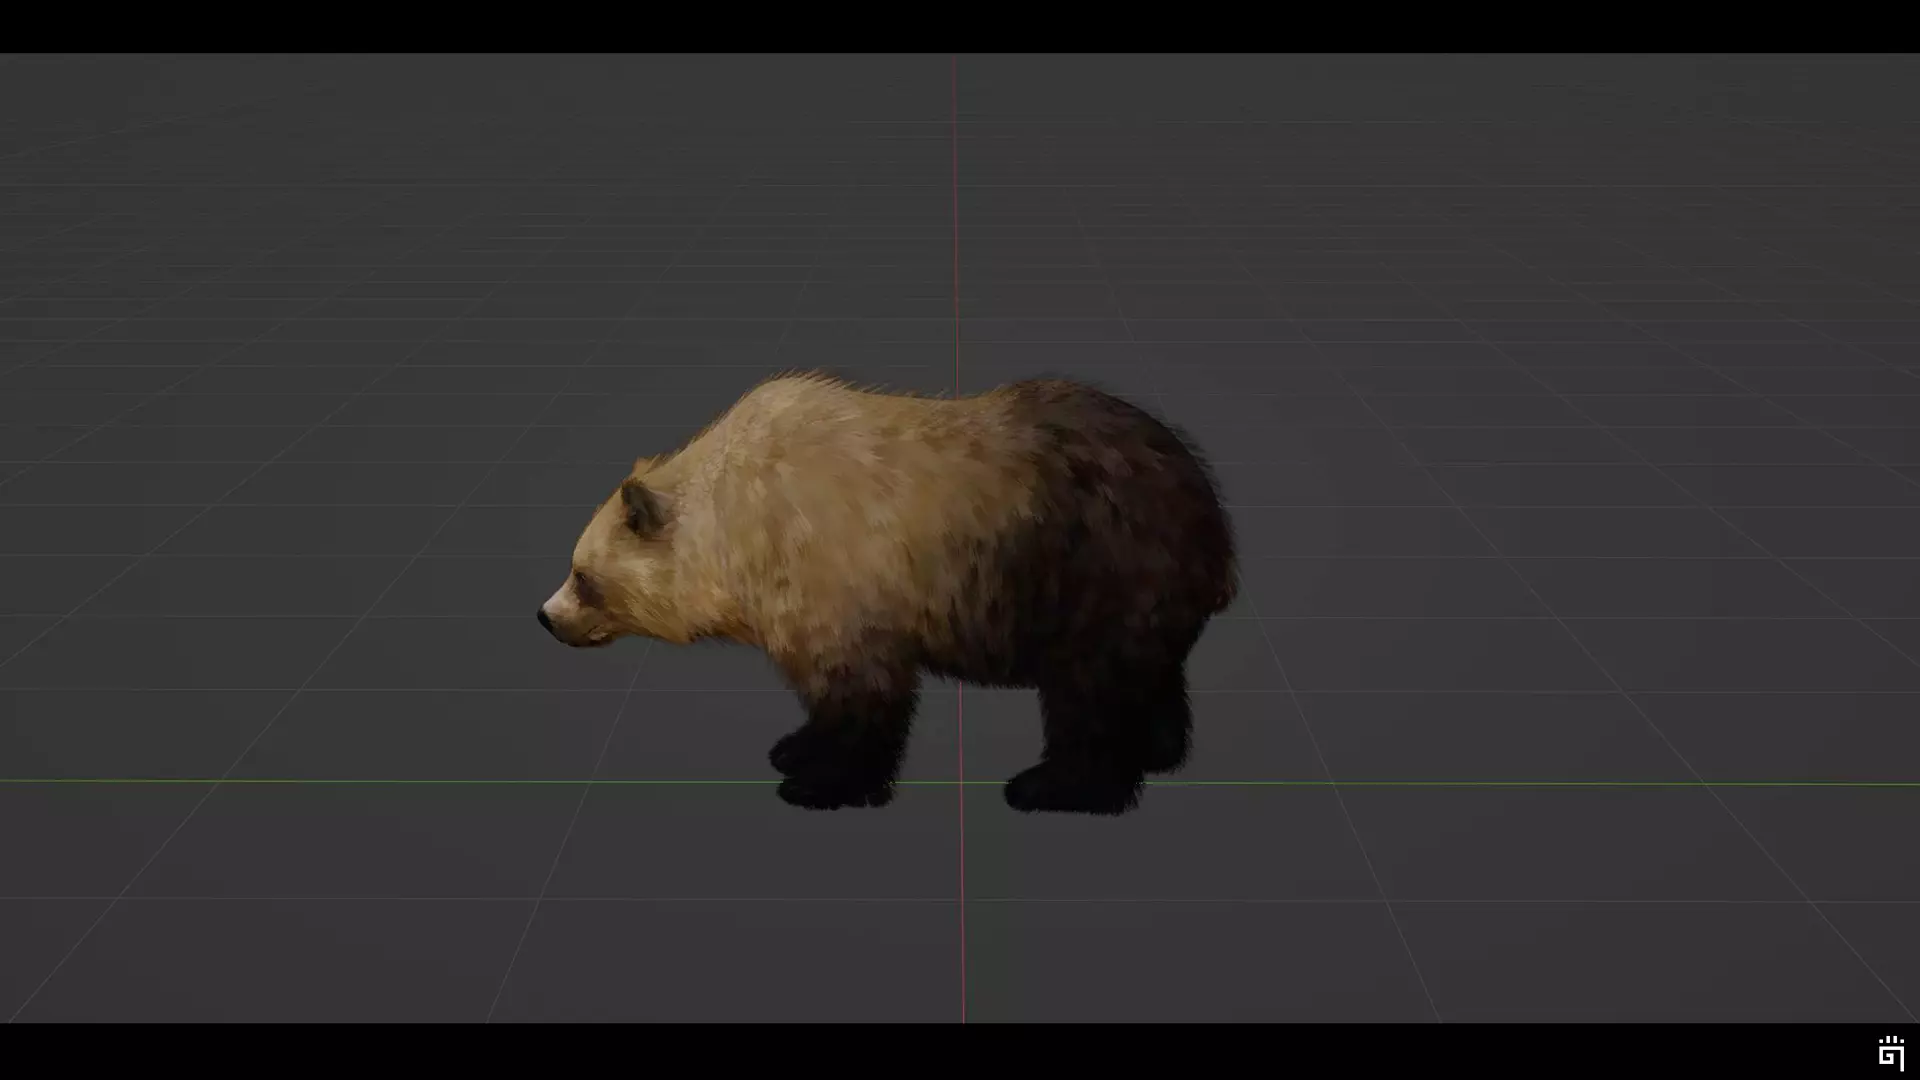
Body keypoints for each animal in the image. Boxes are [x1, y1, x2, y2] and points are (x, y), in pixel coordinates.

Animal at [536, 371, 1237, 815]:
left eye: (582, 575)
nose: (546, 616)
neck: (739, 527)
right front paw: (794, 747)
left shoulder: (836, 572)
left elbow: (861, 687)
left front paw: (821, 782)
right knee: (1147, 672)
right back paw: (1161, 749)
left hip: (1094, 561)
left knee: (1089, 688)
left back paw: (1056, 787)